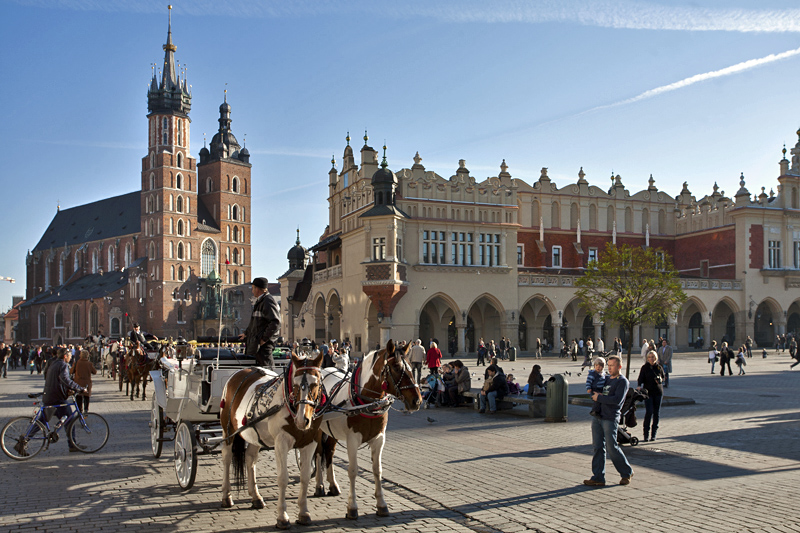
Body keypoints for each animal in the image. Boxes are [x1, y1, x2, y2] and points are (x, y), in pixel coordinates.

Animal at [219, 352, 324, 528]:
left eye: (315, 383)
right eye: (295, 384)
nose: (302, 420)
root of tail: (241, 371)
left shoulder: (311, 442)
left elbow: (305, 476)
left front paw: (304, 513)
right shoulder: (280, 442)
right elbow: (283, 478)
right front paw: (282, 517)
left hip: (254, 435)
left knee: (250, 458)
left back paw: (256, 497)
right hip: (228, 430)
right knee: (227, 458)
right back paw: (226, 496)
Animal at [314, 340, 422, 520]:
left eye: (410, 366)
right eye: (396, 368)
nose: (417, 401)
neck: (367, 402)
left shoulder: (379, 439)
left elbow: (377, 470)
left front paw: (382, 505)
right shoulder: (352, 440)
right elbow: (353, 470)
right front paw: (352, 507)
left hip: (332, 432)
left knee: (329, 453)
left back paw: (333, 485)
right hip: (317, 429)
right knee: (318, 453)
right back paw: (319, 485)